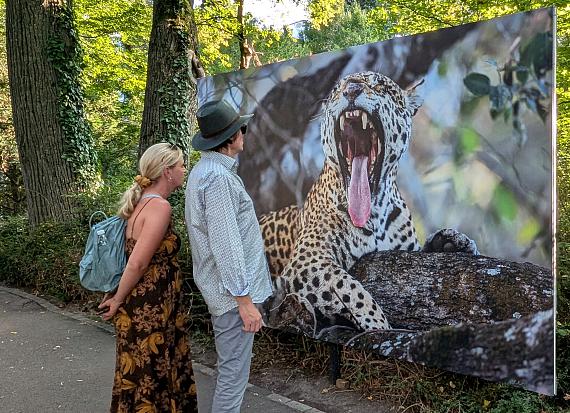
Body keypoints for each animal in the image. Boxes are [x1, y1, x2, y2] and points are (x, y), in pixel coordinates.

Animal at [258, 71, 474, 334]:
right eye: (336, 90)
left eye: (379, 85)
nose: (351, 91)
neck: (375, 211)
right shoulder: (307, 260)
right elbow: (351, 289)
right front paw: (379, 326)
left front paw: (453, 242)